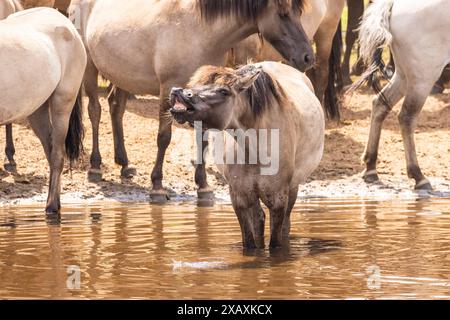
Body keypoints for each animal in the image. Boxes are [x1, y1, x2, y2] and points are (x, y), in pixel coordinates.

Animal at [81, 0, 314, 202]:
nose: (308, 57)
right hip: (90, 67)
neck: (199, 32)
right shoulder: (168, 91)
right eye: (283, 14)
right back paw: (95, 166)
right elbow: (163, 138)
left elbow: (203, 139)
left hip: (123, 76)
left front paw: (203, 186)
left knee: (116, 107)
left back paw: (124, 164)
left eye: (298, 13)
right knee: (95, 110)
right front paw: (157, 185)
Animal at [169, 61, 324, 249]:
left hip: (292, 188)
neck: (255, 150)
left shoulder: (278, 200)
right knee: (258, 219)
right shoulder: (240, 198)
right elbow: (249, 242)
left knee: (285, 223)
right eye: (195, 84)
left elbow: (276, 243)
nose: (177, 91)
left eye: (224, 91)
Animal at [356, 0, 450, 190]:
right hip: (422, 79)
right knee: (407, 117)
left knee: (380, 104)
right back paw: (418, 175)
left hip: (403, 76)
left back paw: (371, 167)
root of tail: (394, 4)